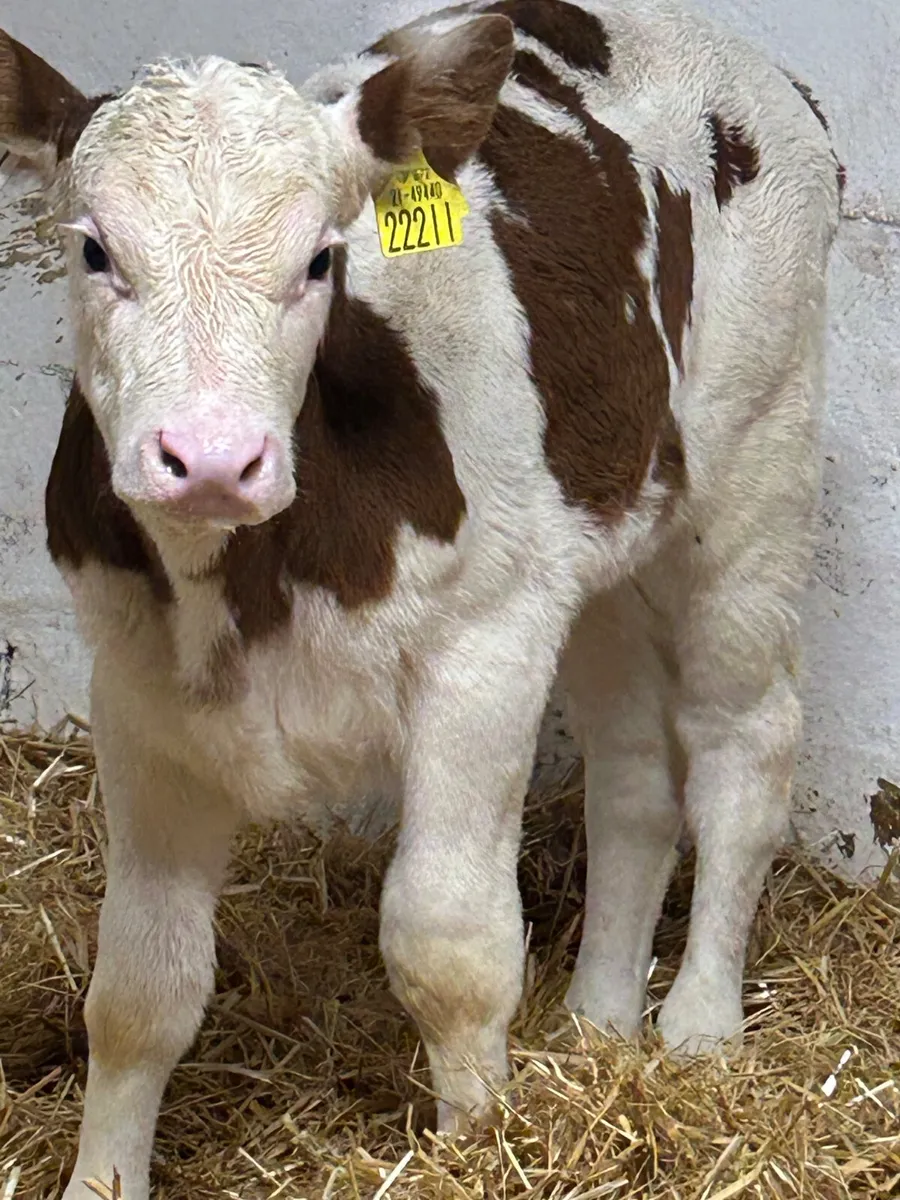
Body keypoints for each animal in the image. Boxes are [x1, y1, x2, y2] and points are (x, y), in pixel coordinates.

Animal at [0, 0, 840, 1194]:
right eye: (93, 249)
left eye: (321, 258)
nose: (211, 458)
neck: (247, 578)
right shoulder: (134, 684)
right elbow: (138, 991)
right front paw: (99, 1177)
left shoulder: (482, 651)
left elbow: (448, 943)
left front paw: (485, 1143)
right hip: (593, 543)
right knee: (633, 775)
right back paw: (597, 1026)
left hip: (756, 466)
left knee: (742, 742)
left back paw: (699, 1030)